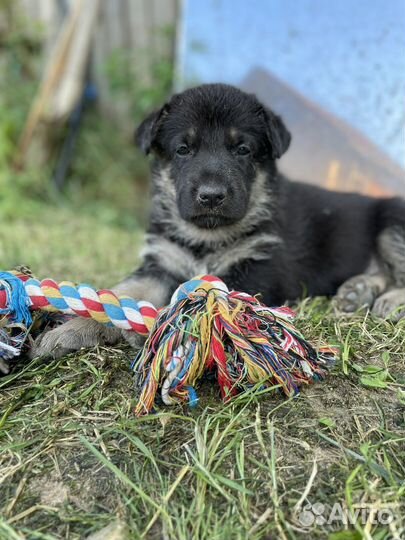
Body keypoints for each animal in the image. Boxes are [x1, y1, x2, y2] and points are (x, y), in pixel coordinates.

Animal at [32, 83, 405, 358]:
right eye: (183, 149)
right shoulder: (162, 263)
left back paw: (388, 301)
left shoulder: (256, 270)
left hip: (392, 222)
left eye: (242, 149)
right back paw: (357, 291)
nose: (211, 196)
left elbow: (194, 300)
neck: (206, 236)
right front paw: (73, 329)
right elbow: (120, 294)